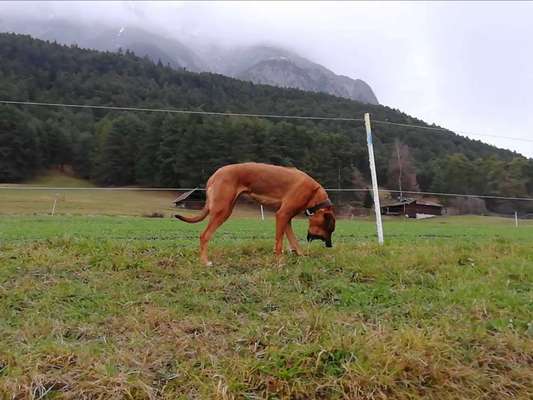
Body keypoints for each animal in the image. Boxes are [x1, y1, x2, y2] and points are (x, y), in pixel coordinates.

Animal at [174, 161, 332, 264]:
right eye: (329, 229)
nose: (330, 246)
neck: (314, 193)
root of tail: (213, 176)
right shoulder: (282, 215)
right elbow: (279, 242)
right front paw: (279, 261)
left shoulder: (286, 218)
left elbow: (293, 240)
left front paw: (301, 256)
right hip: (222, 211)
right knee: (204, 236)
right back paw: (205, 262)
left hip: (227, 208)